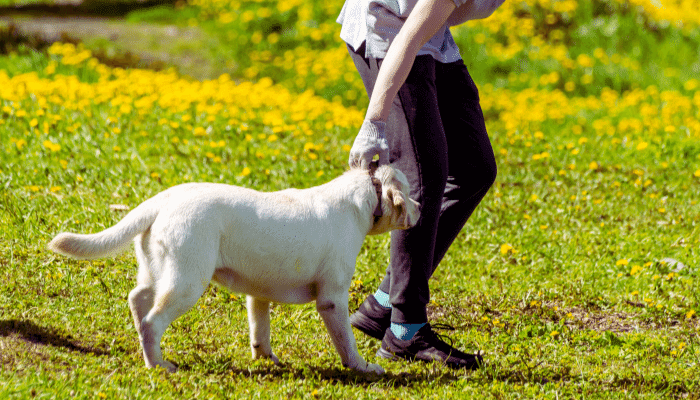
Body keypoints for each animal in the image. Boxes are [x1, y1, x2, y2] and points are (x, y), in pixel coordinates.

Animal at [52, 165, 422, 376]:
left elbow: (260, 331)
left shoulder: (258, 295)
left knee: (137, 299)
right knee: (151, 322)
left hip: (158, 272)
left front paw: (266, 360)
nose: (420, 207)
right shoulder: (332, 298)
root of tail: (163, 199)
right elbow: (346, 340)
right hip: (187, 282)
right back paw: (159, 365)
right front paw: (362, 368)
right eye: (407, 190)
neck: (365, 196)